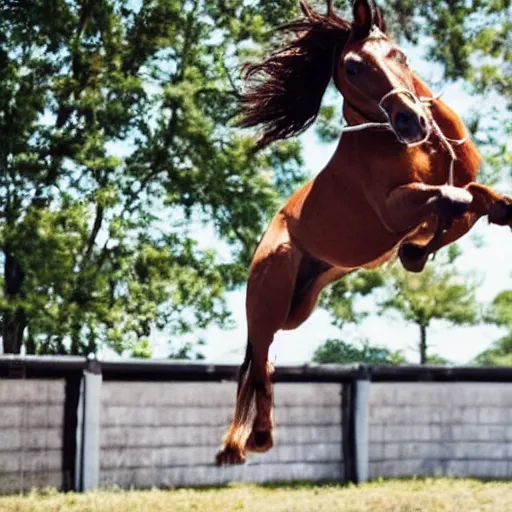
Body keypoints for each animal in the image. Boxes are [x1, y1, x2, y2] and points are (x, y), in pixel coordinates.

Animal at [215, 0, 512, 466]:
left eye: (400, 55)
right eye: (352, 67)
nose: (412, 121)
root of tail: (267, 240)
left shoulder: (458, 193)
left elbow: (477, 200)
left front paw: (422, 250)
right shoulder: (394, 211)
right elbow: (452, 200)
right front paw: (415, 252)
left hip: (300, 305)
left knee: (265, 361)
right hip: (269, 302)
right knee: (259, 359)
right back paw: (257, 438)